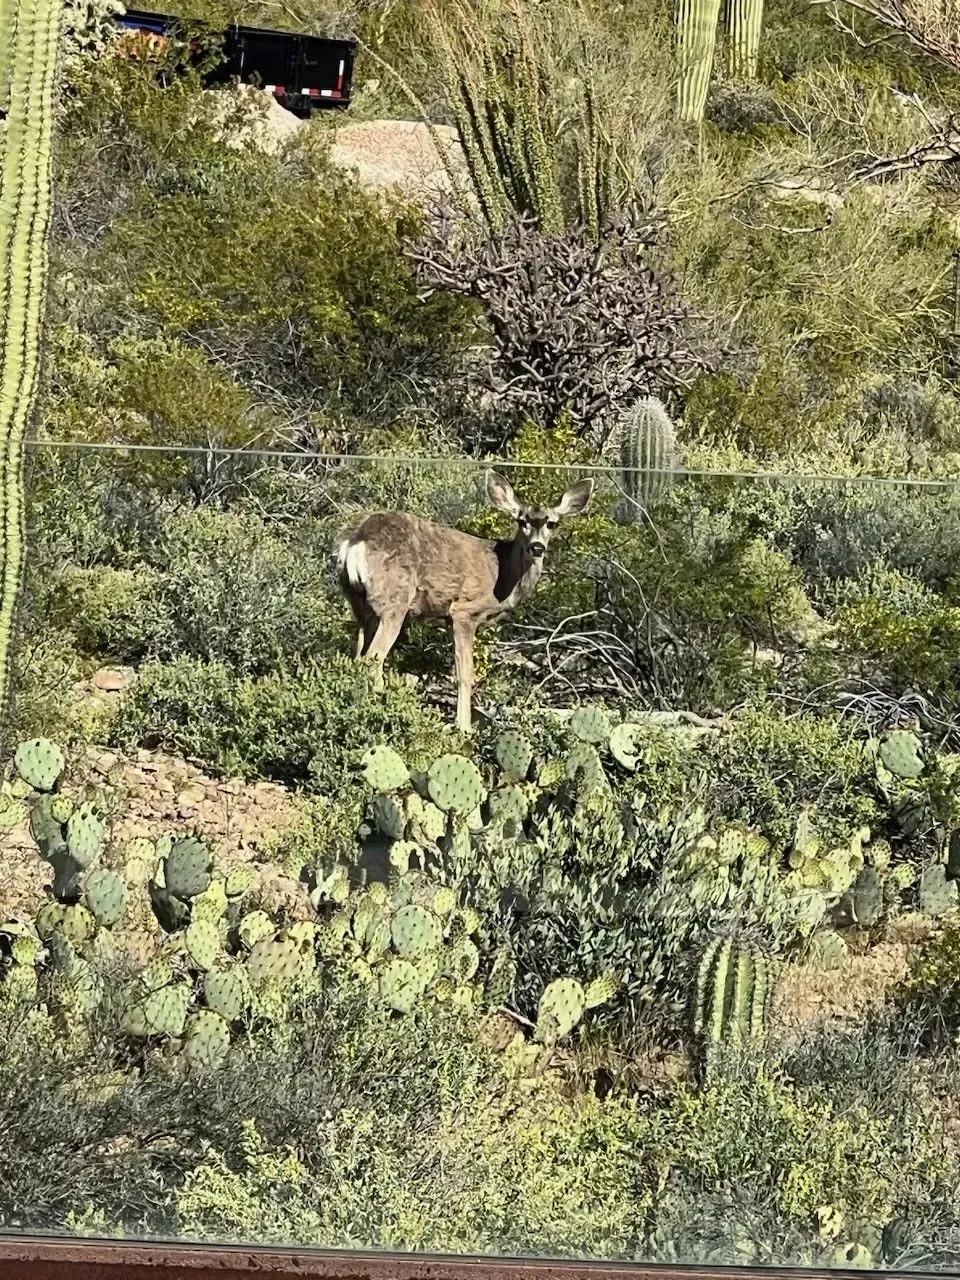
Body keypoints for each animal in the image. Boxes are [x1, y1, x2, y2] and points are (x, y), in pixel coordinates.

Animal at [334, 471, 594, 734]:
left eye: (552, 523)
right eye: (522, 521)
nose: (537, 547)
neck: (502, 574)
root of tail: (355, 541)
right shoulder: (464, 611)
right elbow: (464, 673)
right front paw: (464, 727)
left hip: (360, 603)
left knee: (357, 655)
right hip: (393, 601)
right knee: (372, 658)